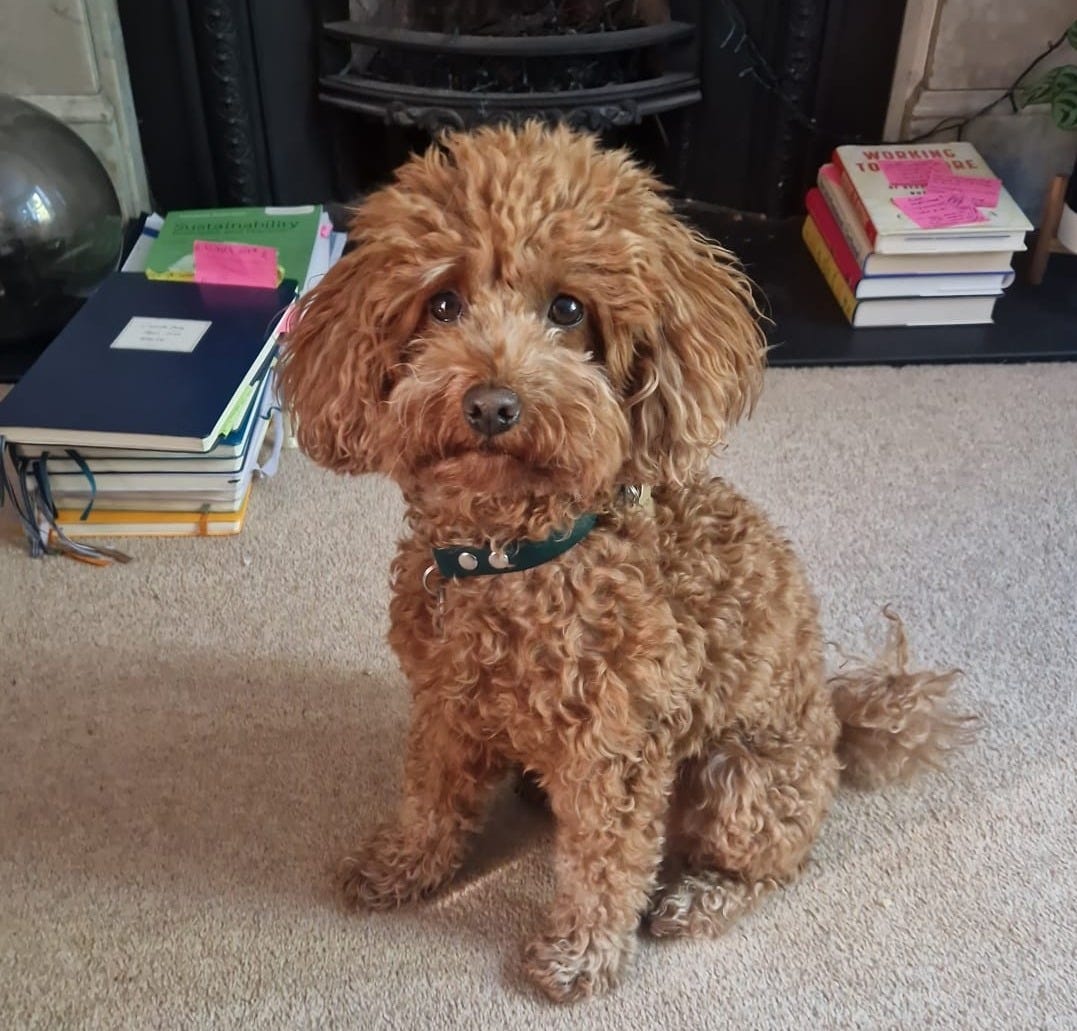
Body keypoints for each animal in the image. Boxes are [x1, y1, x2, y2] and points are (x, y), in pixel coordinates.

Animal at [279, 122, 974, 1002]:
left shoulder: (616, 751)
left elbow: (604, 866)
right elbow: (431, 797)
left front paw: (577, 955)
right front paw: (402, 865)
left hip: (742, 781)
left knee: (764, 863)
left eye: (567, 309)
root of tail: (835, 724)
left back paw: (695, 898)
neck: (513, 554)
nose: (492, 405)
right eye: (441, 303)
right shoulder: (443, 707)